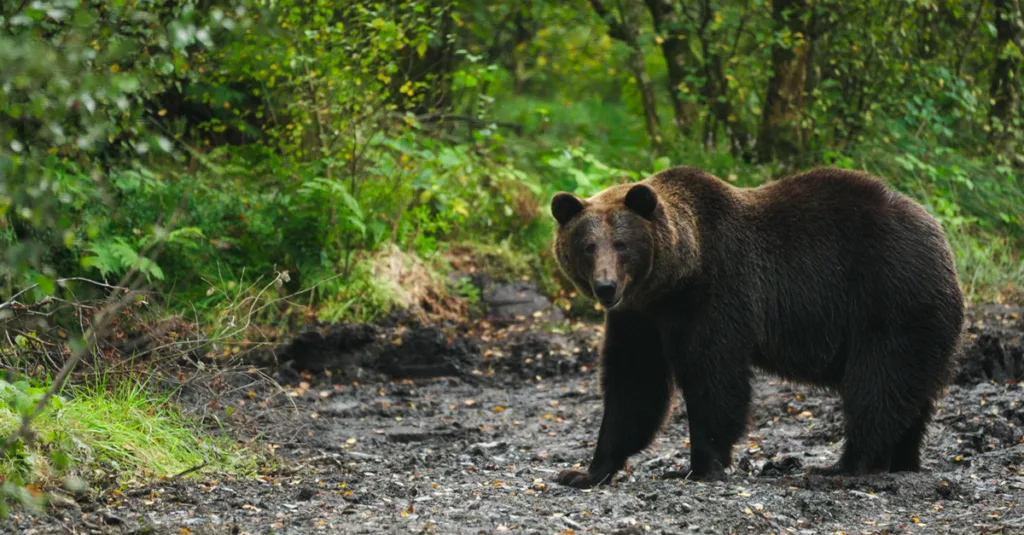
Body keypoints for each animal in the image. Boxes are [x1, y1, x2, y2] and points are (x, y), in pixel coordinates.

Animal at [548, 165, 965, 488]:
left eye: (622, 244)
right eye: (587, 245)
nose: (606, 287)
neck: (675, 278)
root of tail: (942, 241)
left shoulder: (716, 293)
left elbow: (713, 377)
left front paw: (700, 466)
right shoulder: (639, 316)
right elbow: (634, 385)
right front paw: (585, 471)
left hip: (888, 300)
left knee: (877, 384)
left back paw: (843, 466)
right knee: (909, 392)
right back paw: (902, 460)